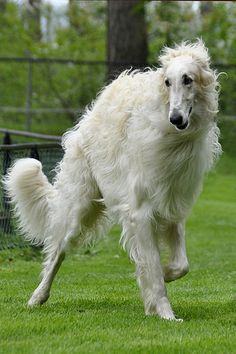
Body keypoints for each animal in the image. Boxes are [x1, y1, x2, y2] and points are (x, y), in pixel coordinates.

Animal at [3, 39, 221, 320]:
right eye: (167, 82)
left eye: (188, 79)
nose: (175, 118)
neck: (171, 138)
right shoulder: (140, 212)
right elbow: (152, 266)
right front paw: (164, 312)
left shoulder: (173, 208)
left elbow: (179, 265)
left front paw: (158, 281)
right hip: (78, 211)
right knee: (56, 253)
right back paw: (37, 296)